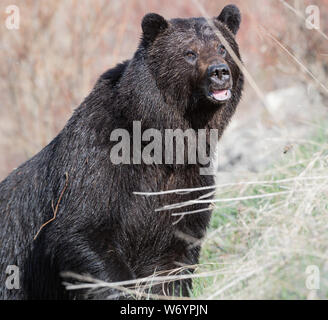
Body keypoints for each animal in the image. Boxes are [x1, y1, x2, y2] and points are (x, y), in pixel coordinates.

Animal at [0, 4, 241, 300]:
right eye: (189, 52)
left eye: (222, 47)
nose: (219, 72)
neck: (161, 140)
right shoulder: (99, 160)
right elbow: (84, 230)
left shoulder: (187, 180)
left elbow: (174, 253)